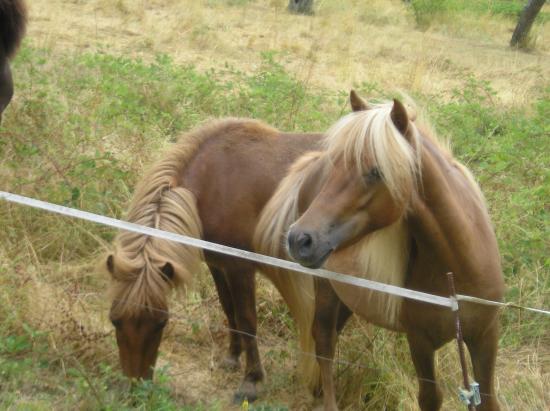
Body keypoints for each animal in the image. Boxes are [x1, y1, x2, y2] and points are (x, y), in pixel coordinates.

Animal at [280, 93, 508, 411]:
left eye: (376, 171)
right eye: (336, 164)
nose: (299, 239)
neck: (459, 270)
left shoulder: (485, 335)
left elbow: (488, 398)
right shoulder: (420, 341)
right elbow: (430, 398)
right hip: (324, 287)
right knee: (324, 341)